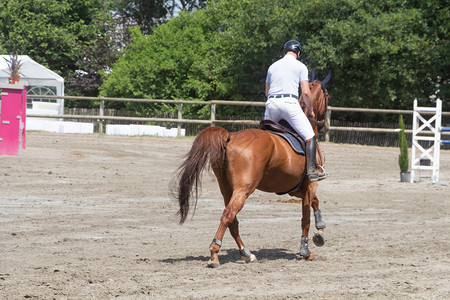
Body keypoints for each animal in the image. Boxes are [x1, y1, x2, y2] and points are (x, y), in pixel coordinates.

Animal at [174, 72, 328, 268]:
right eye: (327, 95)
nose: (325, 125)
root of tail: (230, 136)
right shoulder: (309, 185)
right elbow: (305, 217)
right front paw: (306, 250)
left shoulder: (295, 189)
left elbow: (315, 202)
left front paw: (320, 231)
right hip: (244, 188)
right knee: (228, 214)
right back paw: (214, 255)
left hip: (227, 188)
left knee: (232, 220)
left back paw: (247, 253)